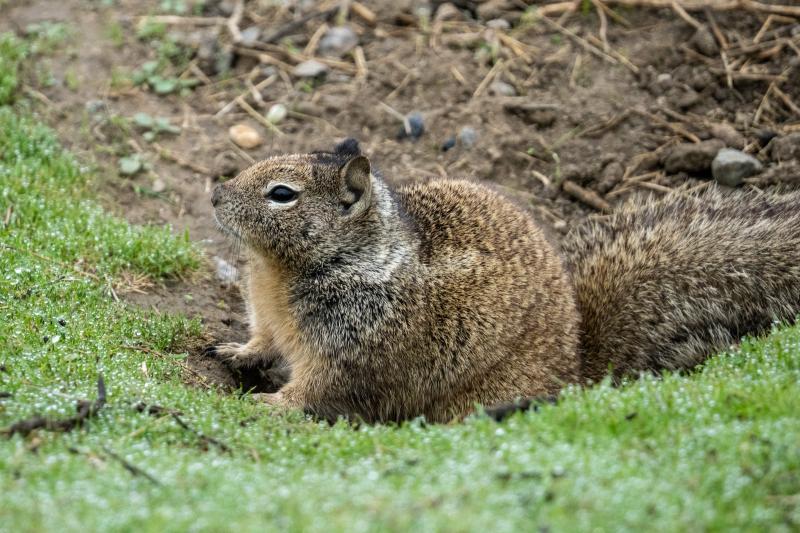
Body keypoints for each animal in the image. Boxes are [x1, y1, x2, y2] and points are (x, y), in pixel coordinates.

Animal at [210, 138, 800, 423]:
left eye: (282, 194)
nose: (214, 194)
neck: (279, 272)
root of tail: (576, 369)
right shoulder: (270, 315)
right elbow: (264, 340)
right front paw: (235, 352)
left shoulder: (353, 344)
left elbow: (319, 387)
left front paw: (270, 405)